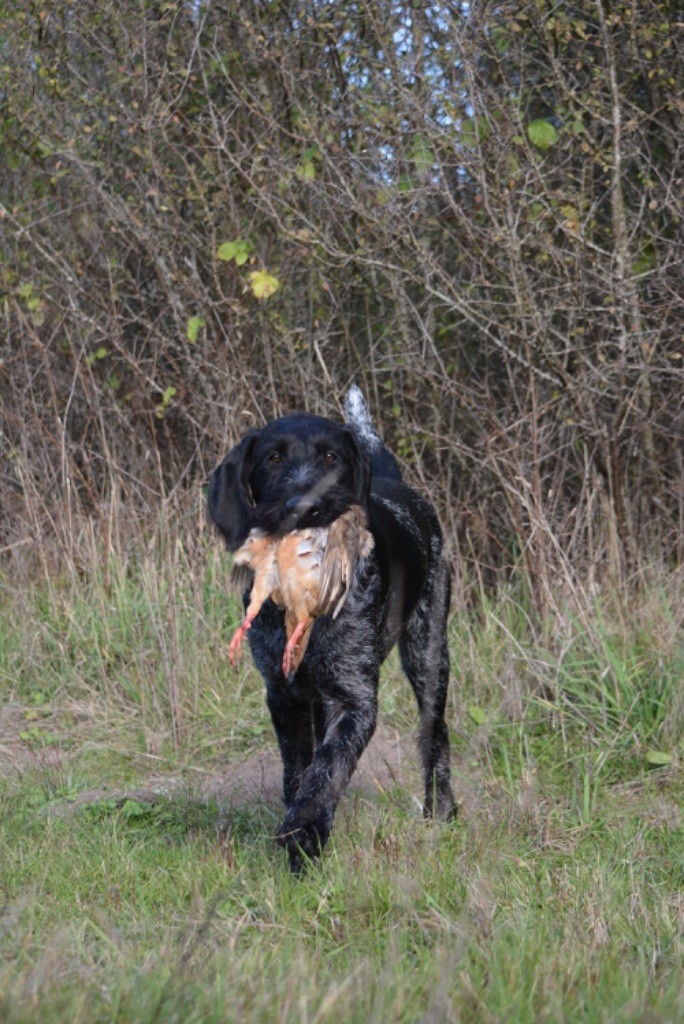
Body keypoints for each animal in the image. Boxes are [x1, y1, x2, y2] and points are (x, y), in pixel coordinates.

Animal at [208, 387, 454, 868]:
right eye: (273, 457)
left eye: (329, 456)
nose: (306, 507)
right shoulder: (284, 694)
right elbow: (300, 769)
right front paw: (304, 830)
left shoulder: (353, 698)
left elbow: (328, 769)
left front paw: (304, 831)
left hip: (429, 653)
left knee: (436, 734)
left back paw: (443, 811)